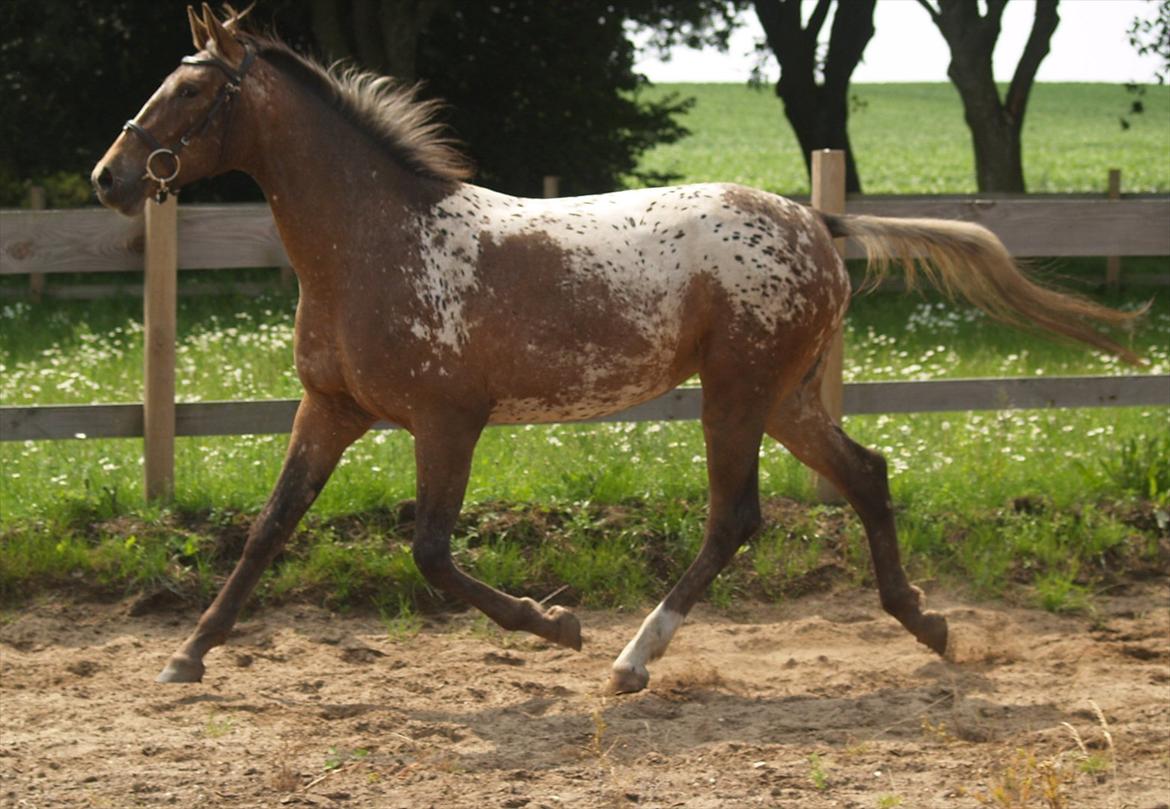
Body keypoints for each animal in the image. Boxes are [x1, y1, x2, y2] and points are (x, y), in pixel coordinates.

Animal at [93, 3, 1141, 693]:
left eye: (192, 88)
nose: (108, 175)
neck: (378, 243)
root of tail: (816, 221)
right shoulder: (331, 409)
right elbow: (269, 527)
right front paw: (185, 655)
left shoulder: (448, 419)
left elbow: (430, 550)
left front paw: (554, 624)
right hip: (787, 394)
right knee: (866, 472)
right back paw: (927, 623)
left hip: (738, 390)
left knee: (737, 515)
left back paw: (633, 657)